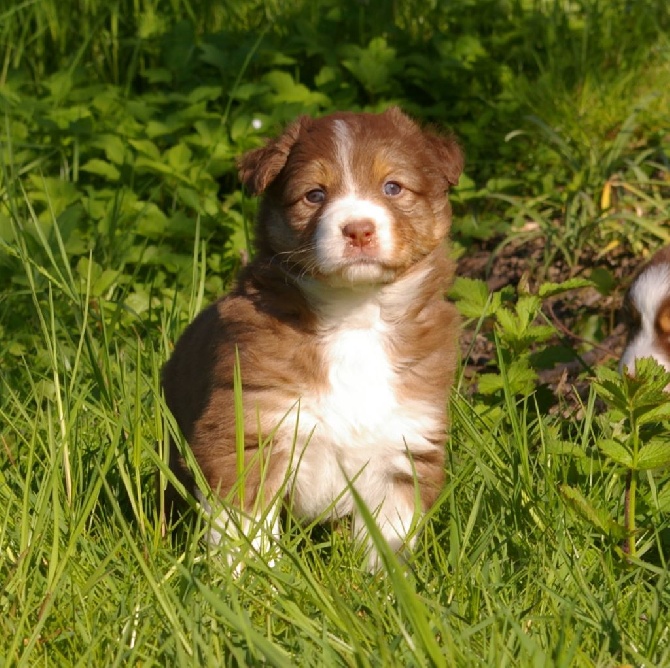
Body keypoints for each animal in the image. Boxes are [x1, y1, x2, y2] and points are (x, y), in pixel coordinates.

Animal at [163, 107, 468, 568]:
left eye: (393, 187)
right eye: (314, 195)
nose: (358, 229)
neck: (355, 318)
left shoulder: (406, 441)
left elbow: (390, 536)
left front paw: (386, 583)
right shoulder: (249, 429)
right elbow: (246, 530)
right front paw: (254, 580)